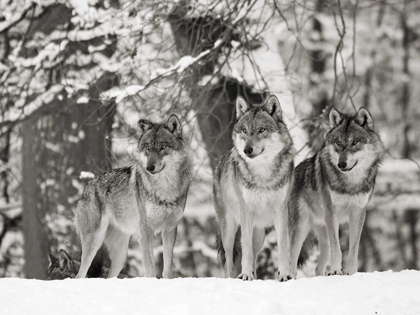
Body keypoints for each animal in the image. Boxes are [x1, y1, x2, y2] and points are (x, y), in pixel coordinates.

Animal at [74, 115, 193, 280]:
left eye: (163, 147)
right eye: (148, 148)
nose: (149, 167)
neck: (165, 188)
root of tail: (87, 187)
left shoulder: (170, 229)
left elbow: (167, 268)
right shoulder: (146, 230)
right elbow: (150, 268)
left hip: (121, 255)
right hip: (94, 242)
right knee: (79, 275)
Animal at [215, 94, 294, 282]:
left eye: (261, 130)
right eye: (244, 130)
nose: (247, 150)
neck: (263, 173)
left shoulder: (281, 210)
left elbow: (282, 247)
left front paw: (284, 275)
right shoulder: (246, 211)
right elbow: (245, 251)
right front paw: (245, 275)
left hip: (259, 235)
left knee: (254, 253)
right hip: (229, 230)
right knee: (229, 259)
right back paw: (233, 277)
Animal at [290, 107, 386, 278]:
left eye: (354, 142)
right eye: (338, 143)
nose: (341, 164)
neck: (350, 183)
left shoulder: (358, 213)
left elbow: (353, 249)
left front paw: (351, 273)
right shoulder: (331, 212)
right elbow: (338, 249)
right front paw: (335, 271)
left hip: (323, 234)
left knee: (318, 268)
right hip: (300, 230)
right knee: (291, 262)